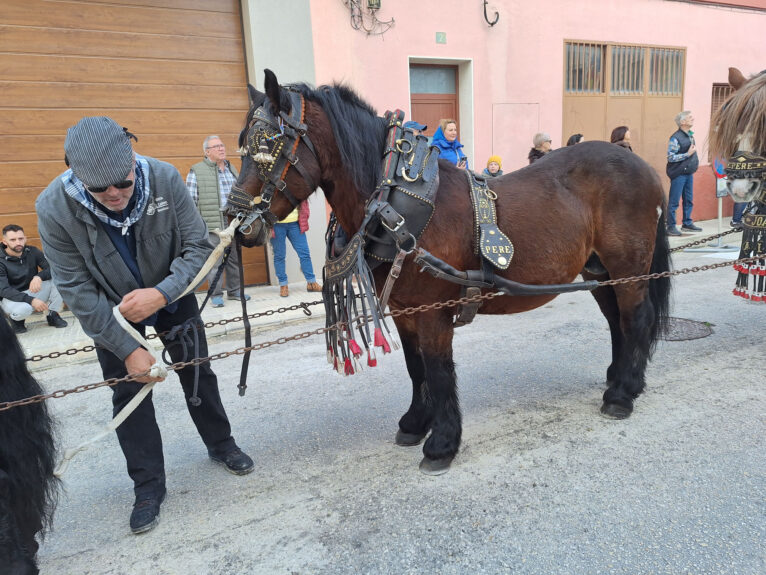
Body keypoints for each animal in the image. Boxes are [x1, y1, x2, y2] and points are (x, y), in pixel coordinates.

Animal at [230, 70, 672, 474]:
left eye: (267, 146)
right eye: (243, 145)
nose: (238, 223)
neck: (393, 202)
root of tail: (644, 167)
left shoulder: (433, 309)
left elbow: (439, 370)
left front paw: (442, 443)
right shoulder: (404, 308)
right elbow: (416, 367)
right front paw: (415, 423)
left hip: (629, 269)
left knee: (636, 319)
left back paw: (622, 394)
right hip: (598, 271)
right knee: (617, 321)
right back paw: (620, 379)